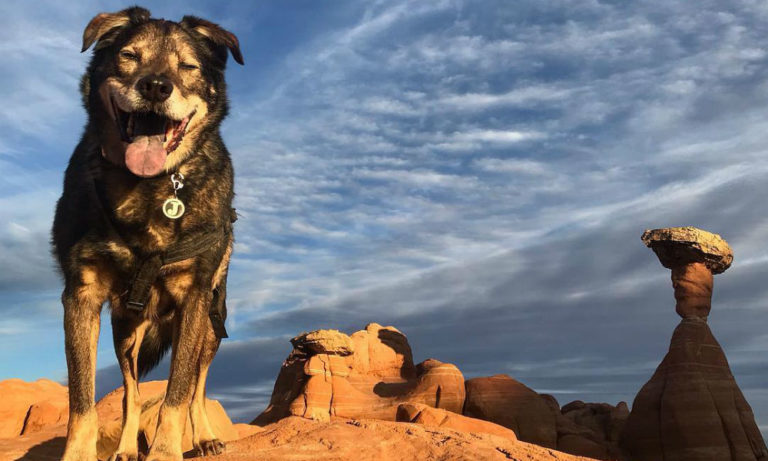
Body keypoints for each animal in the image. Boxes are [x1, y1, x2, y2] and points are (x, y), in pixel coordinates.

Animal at [51, 7, 243, 460]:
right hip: (127, 332)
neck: (150, 185)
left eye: (188, 66)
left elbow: (178, 392)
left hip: (212, 325)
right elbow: (83, 399)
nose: (155, 86)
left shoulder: (195, 297)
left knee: (196, 386)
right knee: (131, 391)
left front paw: (166, 450)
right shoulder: (81, 294)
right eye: (129, 55)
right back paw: (124, 447)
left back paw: (205, 436)